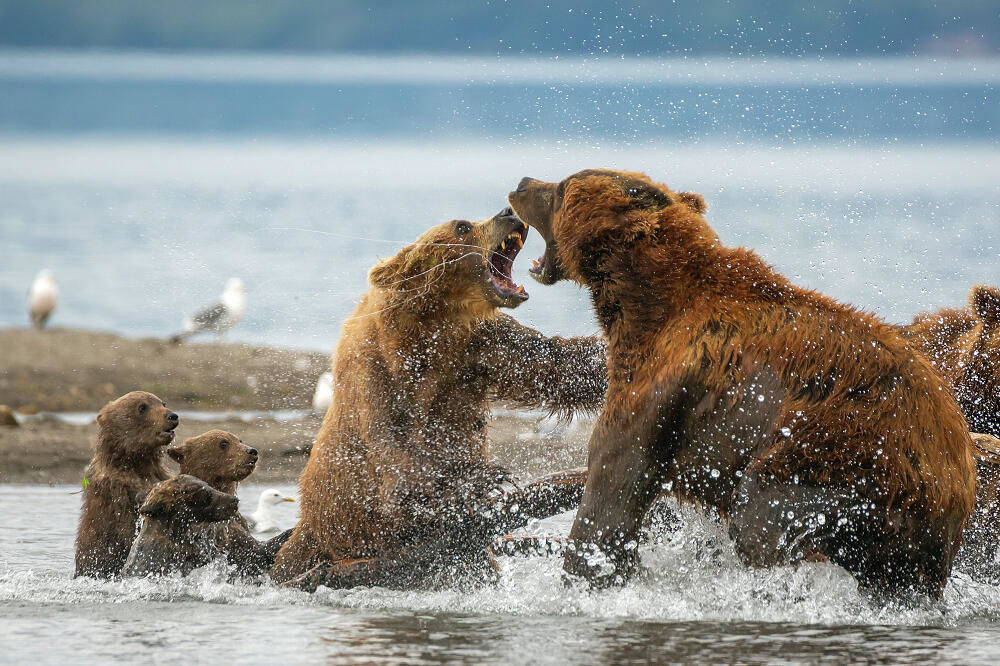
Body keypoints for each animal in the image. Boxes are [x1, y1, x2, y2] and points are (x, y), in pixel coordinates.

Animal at [75, 390, 179, 576]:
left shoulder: (159, 475)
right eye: (142, 407)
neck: (135, 462)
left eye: (163, 403)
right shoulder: (118, 495)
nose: (172, 416)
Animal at [270, 206, 604, 588]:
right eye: (463, 226)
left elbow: (556, 363)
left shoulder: (481, 348)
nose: (508, 212)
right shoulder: (375, 373)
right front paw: (484, 477)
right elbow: (396, 457)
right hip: (326, 538)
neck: (433, 324)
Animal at [508, 167, 976, 596]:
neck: (644, 302)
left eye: (563, 187)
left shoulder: (658, 383)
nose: (522, 183)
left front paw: (588, 574)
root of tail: (957, 472)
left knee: (761, 518)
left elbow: (614, 479)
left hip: (845, 455)